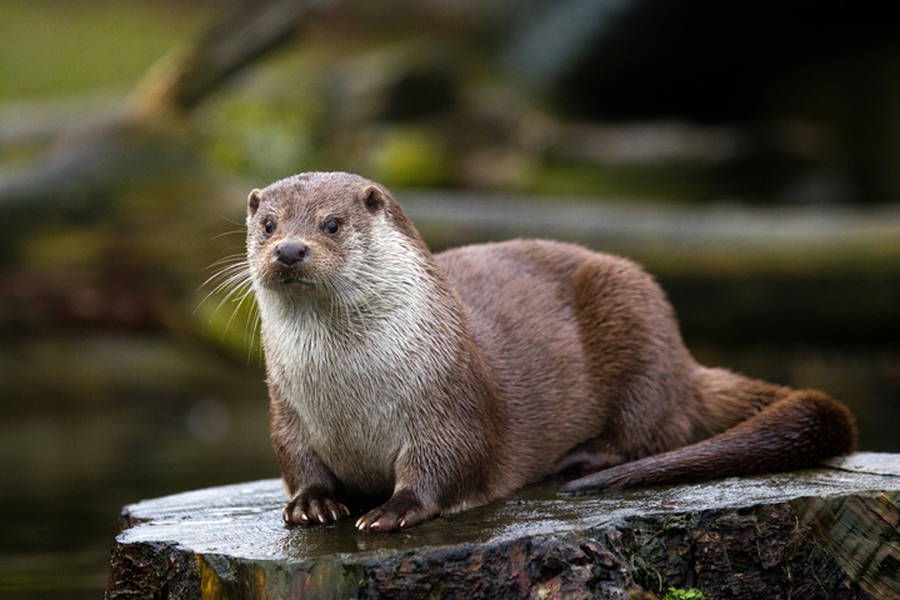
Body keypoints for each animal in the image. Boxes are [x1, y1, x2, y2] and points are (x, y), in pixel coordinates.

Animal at [244, 171, 856, 532]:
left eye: (332, 224)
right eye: (268, 224)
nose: (290, 250)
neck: (349, 396)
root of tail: (685, 363)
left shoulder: (450, 402)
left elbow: (447, 464)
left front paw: (392, 510)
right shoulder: (286, 412)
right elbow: (295, 461)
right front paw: (313, 503)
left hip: (635, 313)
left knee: (654, 428)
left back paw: (580, 460)